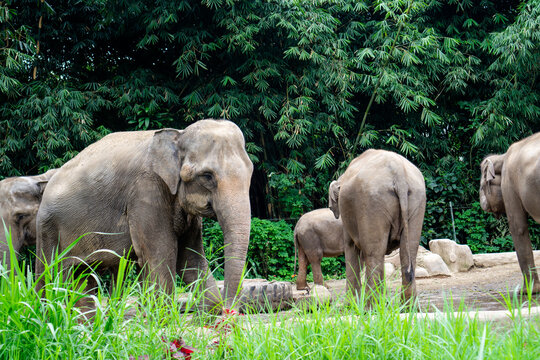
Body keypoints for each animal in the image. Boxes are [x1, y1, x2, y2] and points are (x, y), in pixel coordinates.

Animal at [37, 119, 254, 310]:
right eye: (207, 176)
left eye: (251, 172)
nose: (229, 311)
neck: (178, 134)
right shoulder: (145, 192)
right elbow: (161, 257)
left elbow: (190, 259)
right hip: (48, 228)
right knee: (49, 275)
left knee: (82, 276)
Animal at [330, 149, 426, 300]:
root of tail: (398, 171)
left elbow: (350, 247)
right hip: (417, 198)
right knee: (408, 253)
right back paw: (405, 306)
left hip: (371, 202)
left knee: (373, 255)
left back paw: (373, 305)